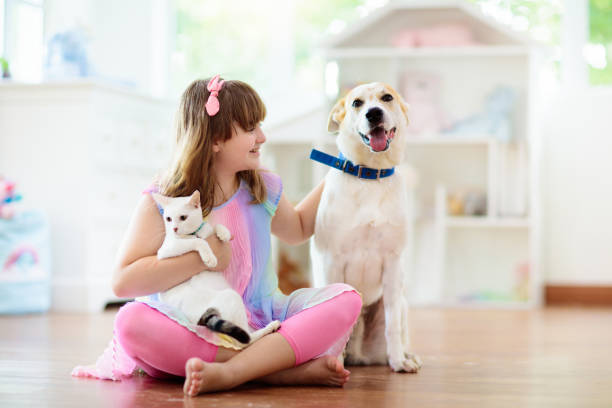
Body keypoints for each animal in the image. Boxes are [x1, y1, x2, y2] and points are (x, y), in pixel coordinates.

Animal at [152, 191, 280, 344]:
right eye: (168, 219)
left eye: (183, 217)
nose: (174, 229)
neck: (193, 233)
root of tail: (202, 320)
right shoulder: (166, 251)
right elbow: (199, 242)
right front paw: (209, 257)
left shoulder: (206, 229)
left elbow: (214, 226)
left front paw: (223, 233)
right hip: (231, 297)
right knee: (246, 340)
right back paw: (270, 327)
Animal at [310, 83, 420, 372]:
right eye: (356, 103)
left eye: (387, 97)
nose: (374, 113)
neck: (369, 177)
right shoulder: (332, 260)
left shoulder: (392, 264)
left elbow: (393, 327)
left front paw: (398, 361)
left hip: (400, 304)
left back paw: (406, 356)